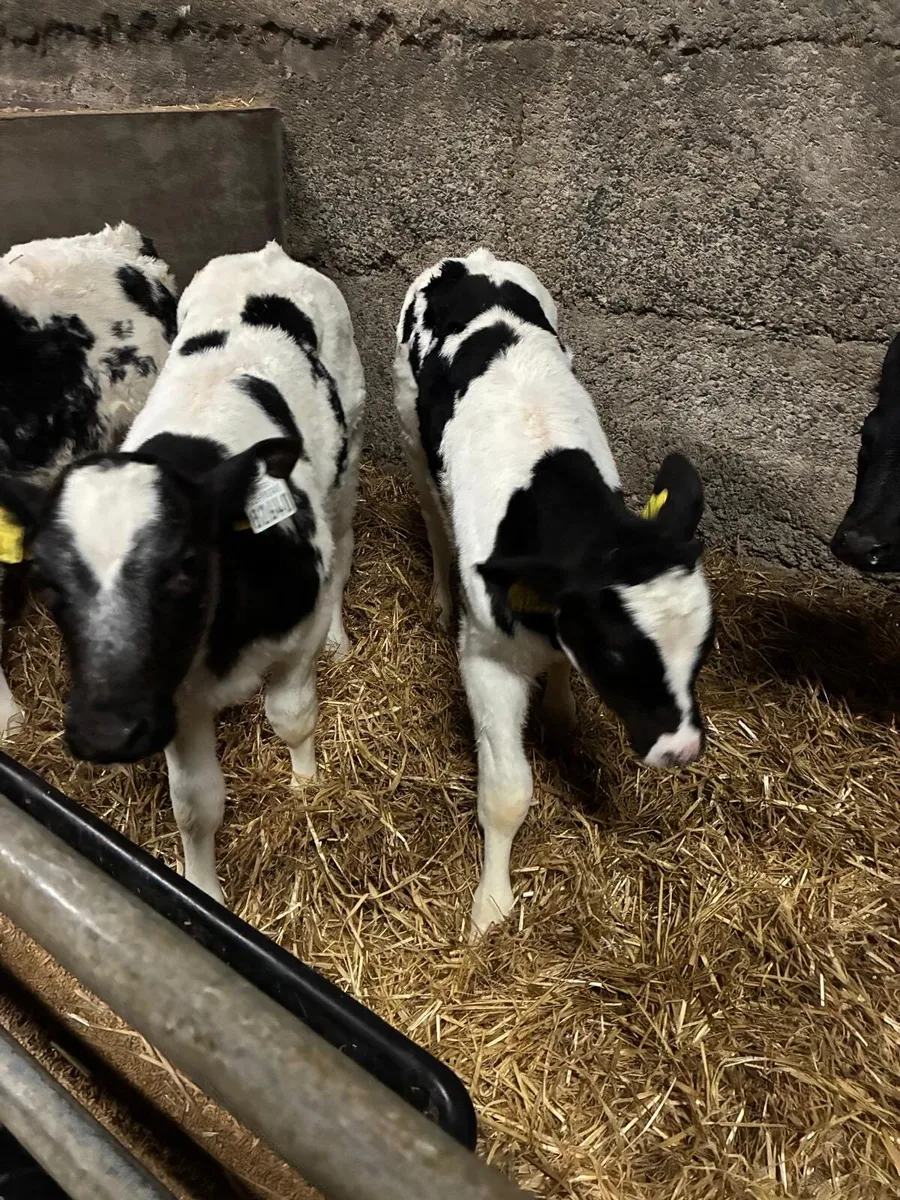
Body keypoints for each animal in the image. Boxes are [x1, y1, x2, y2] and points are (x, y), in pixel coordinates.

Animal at [393, 249, 715, 938]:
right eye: (618, 654)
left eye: (702, 648)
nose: (680, 750)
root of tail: (469, 258)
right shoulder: (485, 658)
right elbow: (507, 793)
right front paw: (490, 907)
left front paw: (563, 708)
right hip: (409, 428)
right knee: (433, 516)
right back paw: (438, 593)